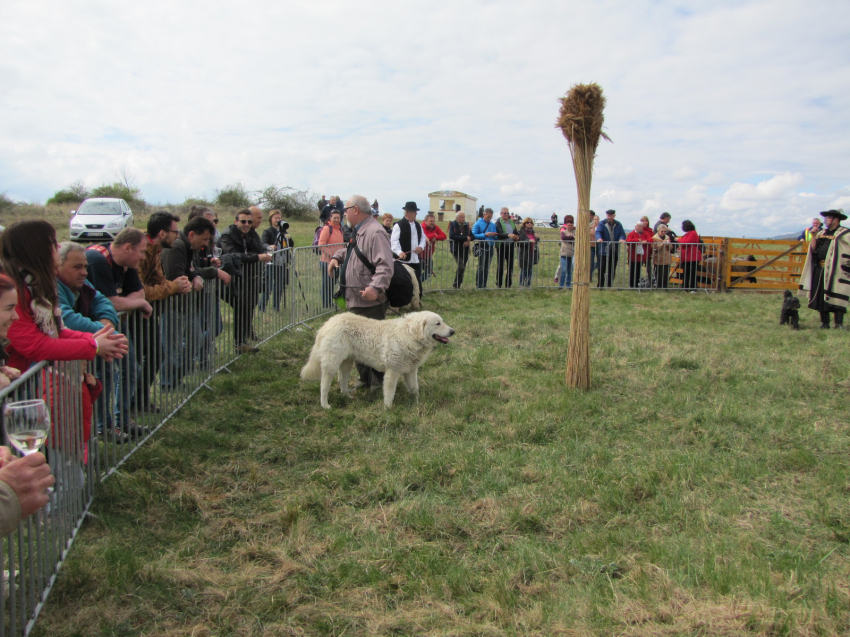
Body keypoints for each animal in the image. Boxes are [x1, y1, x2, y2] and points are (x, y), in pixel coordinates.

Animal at [302, 310, 454, 410]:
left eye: (442, 321)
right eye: (438, 323)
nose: (453, 331)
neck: (409, 335)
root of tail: (328, 322)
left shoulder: (411, 370)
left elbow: (414, 388)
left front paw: (417, 401)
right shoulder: (392, 372)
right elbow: (390, 393)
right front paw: (388, 408)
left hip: (347, 362)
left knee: (342, 380)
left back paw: (347, 396)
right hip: (331, 363)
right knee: (324, 385)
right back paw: (325, 405)